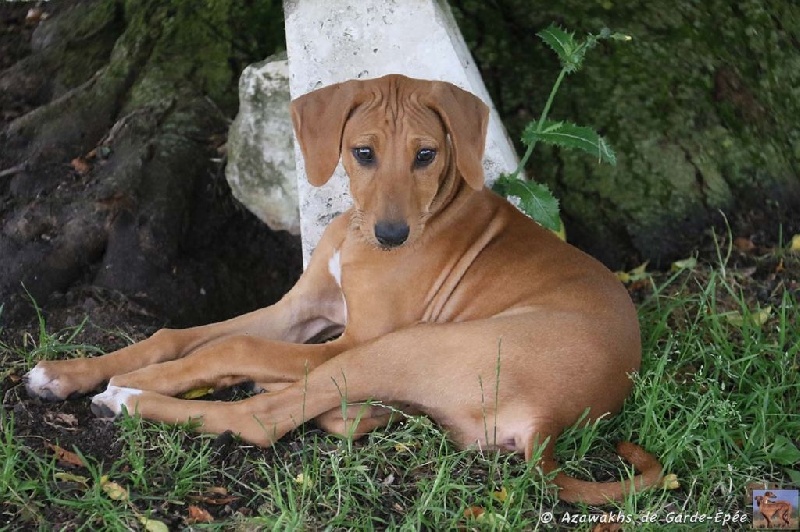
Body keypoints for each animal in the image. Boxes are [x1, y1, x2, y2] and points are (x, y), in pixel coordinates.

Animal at [25, 74, 662, 504]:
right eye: (363, 153)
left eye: (426, 155)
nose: (393, 236)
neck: (357, 232)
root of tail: (557, 422)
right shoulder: (301, 309)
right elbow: (177, 334)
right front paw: (66, 372)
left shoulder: (348, 338)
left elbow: (229, 347)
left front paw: (132, 380)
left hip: (395, 349)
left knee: (262, 419)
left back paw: (132, 401)